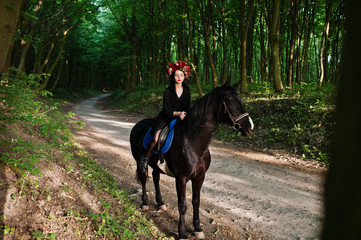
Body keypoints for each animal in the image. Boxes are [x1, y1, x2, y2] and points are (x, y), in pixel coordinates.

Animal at [129, 78, 253, 238]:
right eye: (230, 100)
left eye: (240, 99)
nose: (250, 127)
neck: (193, 142)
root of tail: (137, 125)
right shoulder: (181, 178)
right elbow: (182, 204)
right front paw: (182, 233)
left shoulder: (199, 177)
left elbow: (196, 202)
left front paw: (197, 228)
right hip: (140, 161)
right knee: (144, 178)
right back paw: (144, 203)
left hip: (156, 164)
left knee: (156, 178)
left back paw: (161, 203)